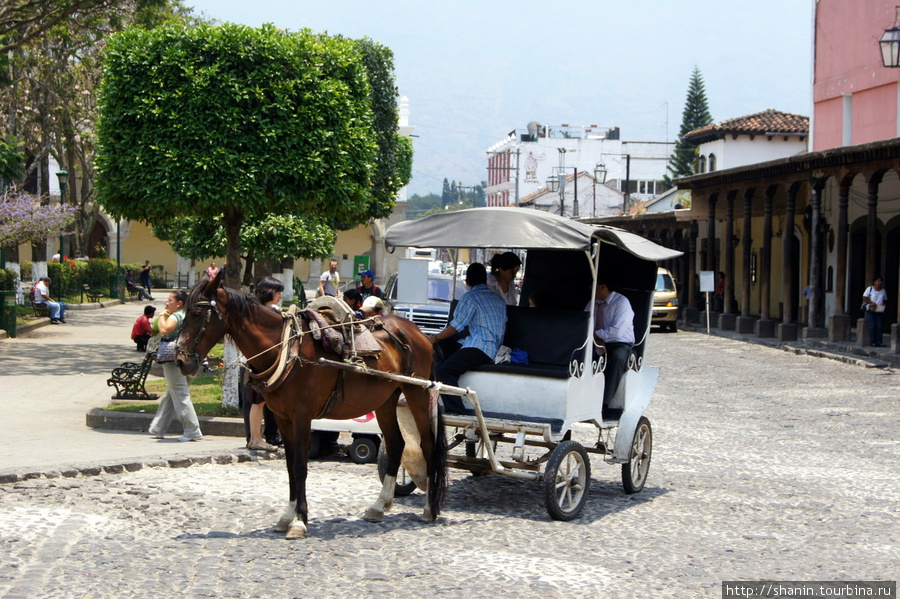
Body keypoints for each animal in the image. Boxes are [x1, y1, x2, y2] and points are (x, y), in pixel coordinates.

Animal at [174, 276, 448, 540]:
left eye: (197, 313)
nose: (180, 360)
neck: (285, 348)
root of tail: (419, 333)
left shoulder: (302, 416)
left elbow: (300, 467)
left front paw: (300, 521)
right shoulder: (282, 418)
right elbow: (289, 466)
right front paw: (287, 516)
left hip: (417, 393)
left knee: (427, 445)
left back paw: (429, 509)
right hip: (385, 401)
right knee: (395, 445)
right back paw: (379, 506)